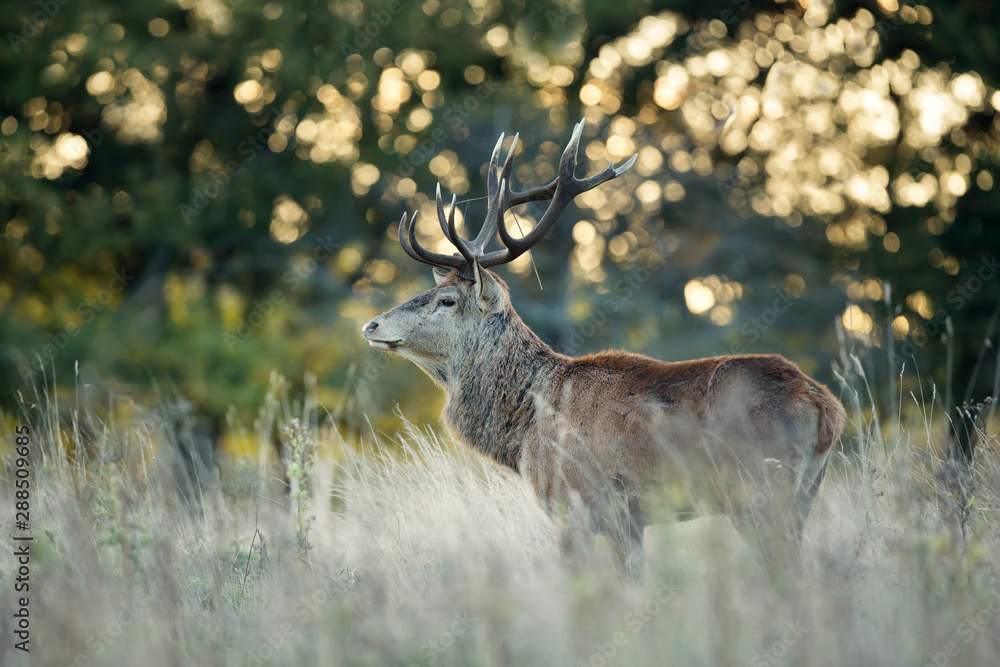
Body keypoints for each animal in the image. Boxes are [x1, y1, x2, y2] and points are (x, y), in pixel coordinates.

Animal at [362, 119, 846, 579]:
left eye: (446, 300)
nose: (371, 324)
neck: (524, 429)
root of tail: (825, 406)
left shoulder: (577, 502)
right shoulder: (629, 520)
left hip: (760, 487)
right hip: (806, 491)